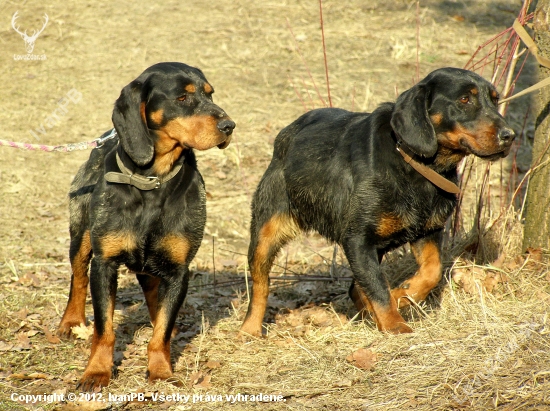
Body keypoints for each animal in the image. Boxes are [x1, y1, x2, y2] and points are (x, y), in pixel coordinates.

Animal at [58, 62, 235, 392]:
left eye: (210, 94)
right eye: (182, 98)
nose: (229, 126)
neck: (152, 180)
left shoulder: (179, 270)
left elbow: (162, 330)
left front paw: (161, 370)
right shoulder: (105, 264)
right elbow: (104, 329)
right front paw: (96, 372)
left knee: (154, 294)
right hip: (81, 234)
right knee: (78, 277)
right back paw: (71, 322)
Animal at [242, 67, 516, 336]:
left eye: (495, 99)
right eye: (464, 99)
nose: (509, 136)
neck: (415, 164)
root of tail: (288, 131)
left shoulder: (427, 231)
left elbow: (432, 271)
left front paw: (404, 294)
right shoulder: (357, 240)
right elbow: (379, 289)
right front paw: (395, 324)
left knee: (357, 287)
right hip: (266, 231)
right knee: (260, 283)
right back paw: (249, 329)